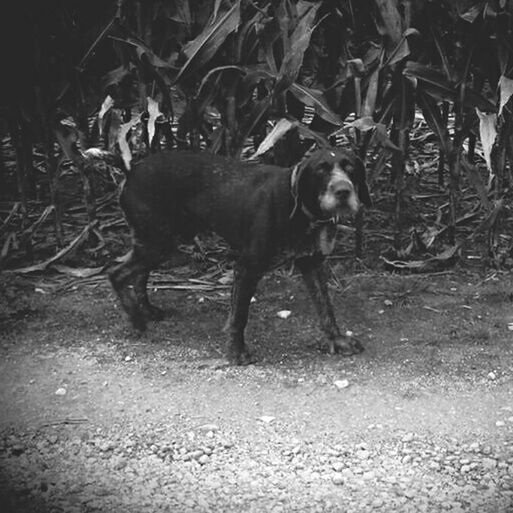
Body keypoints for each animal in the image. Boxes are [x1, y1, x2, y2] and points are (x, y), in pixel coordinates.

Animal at [109, 148, 372, 364]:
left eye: (350, 168)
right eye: (320, 170)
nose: (343, 191)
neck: (300, 211)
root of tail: (131, 172)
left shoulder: (313, 264)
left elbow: (326, 308)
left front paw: (337, 339)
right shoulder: (247, 268)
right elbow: (239, 317)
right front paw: (236, 352)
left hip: (162, 241)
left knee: (138, 273)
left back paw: (147, 311)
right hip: (158, 242)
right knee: (116, 272)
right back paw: (136, 319)